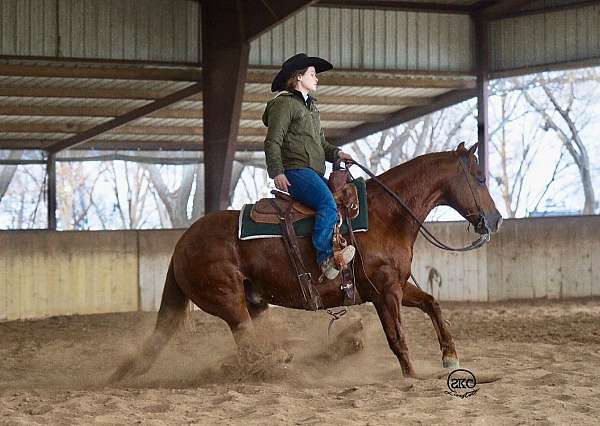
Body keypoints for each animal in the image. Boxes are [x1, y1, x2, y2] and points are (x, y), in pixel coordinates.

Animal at [111, 142, 502, 380]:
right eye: (480, 178)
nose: (495, 220)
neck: (387, 215)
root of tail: (182, 243)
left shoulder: (396, 286)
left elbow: (433, 304)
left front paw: (450, 358)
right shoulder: (385, 292)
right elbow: (397, 337)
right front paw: (411, 375)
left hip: (254, 302)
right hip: (229, 302)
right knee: (248, 346)